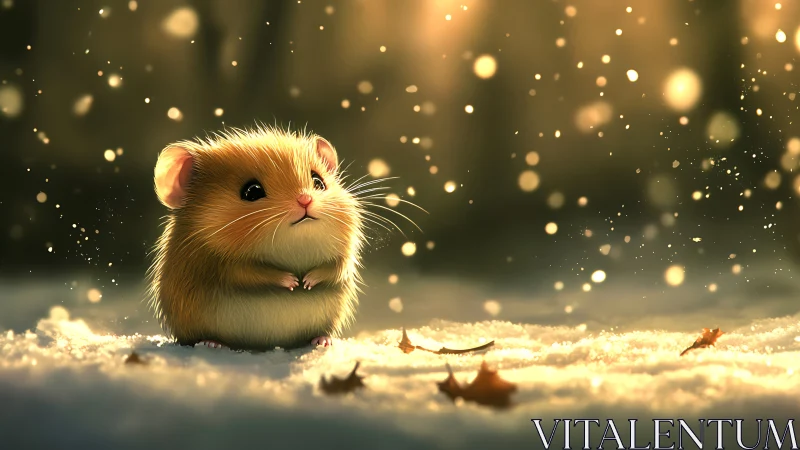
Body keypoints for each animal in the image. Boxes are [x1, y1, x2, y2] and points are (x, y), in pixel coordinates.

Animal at [146, 126, 366, 351]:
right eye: (252, 191)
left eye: (318, 181)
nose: (305, 200)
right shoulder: (220, 263)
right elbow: (249, 272)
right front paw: (293, 281)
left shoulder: (345, 255)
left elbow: (337, 267)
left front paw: (307, 281)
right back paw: (211, 342)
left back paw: (322, 340)